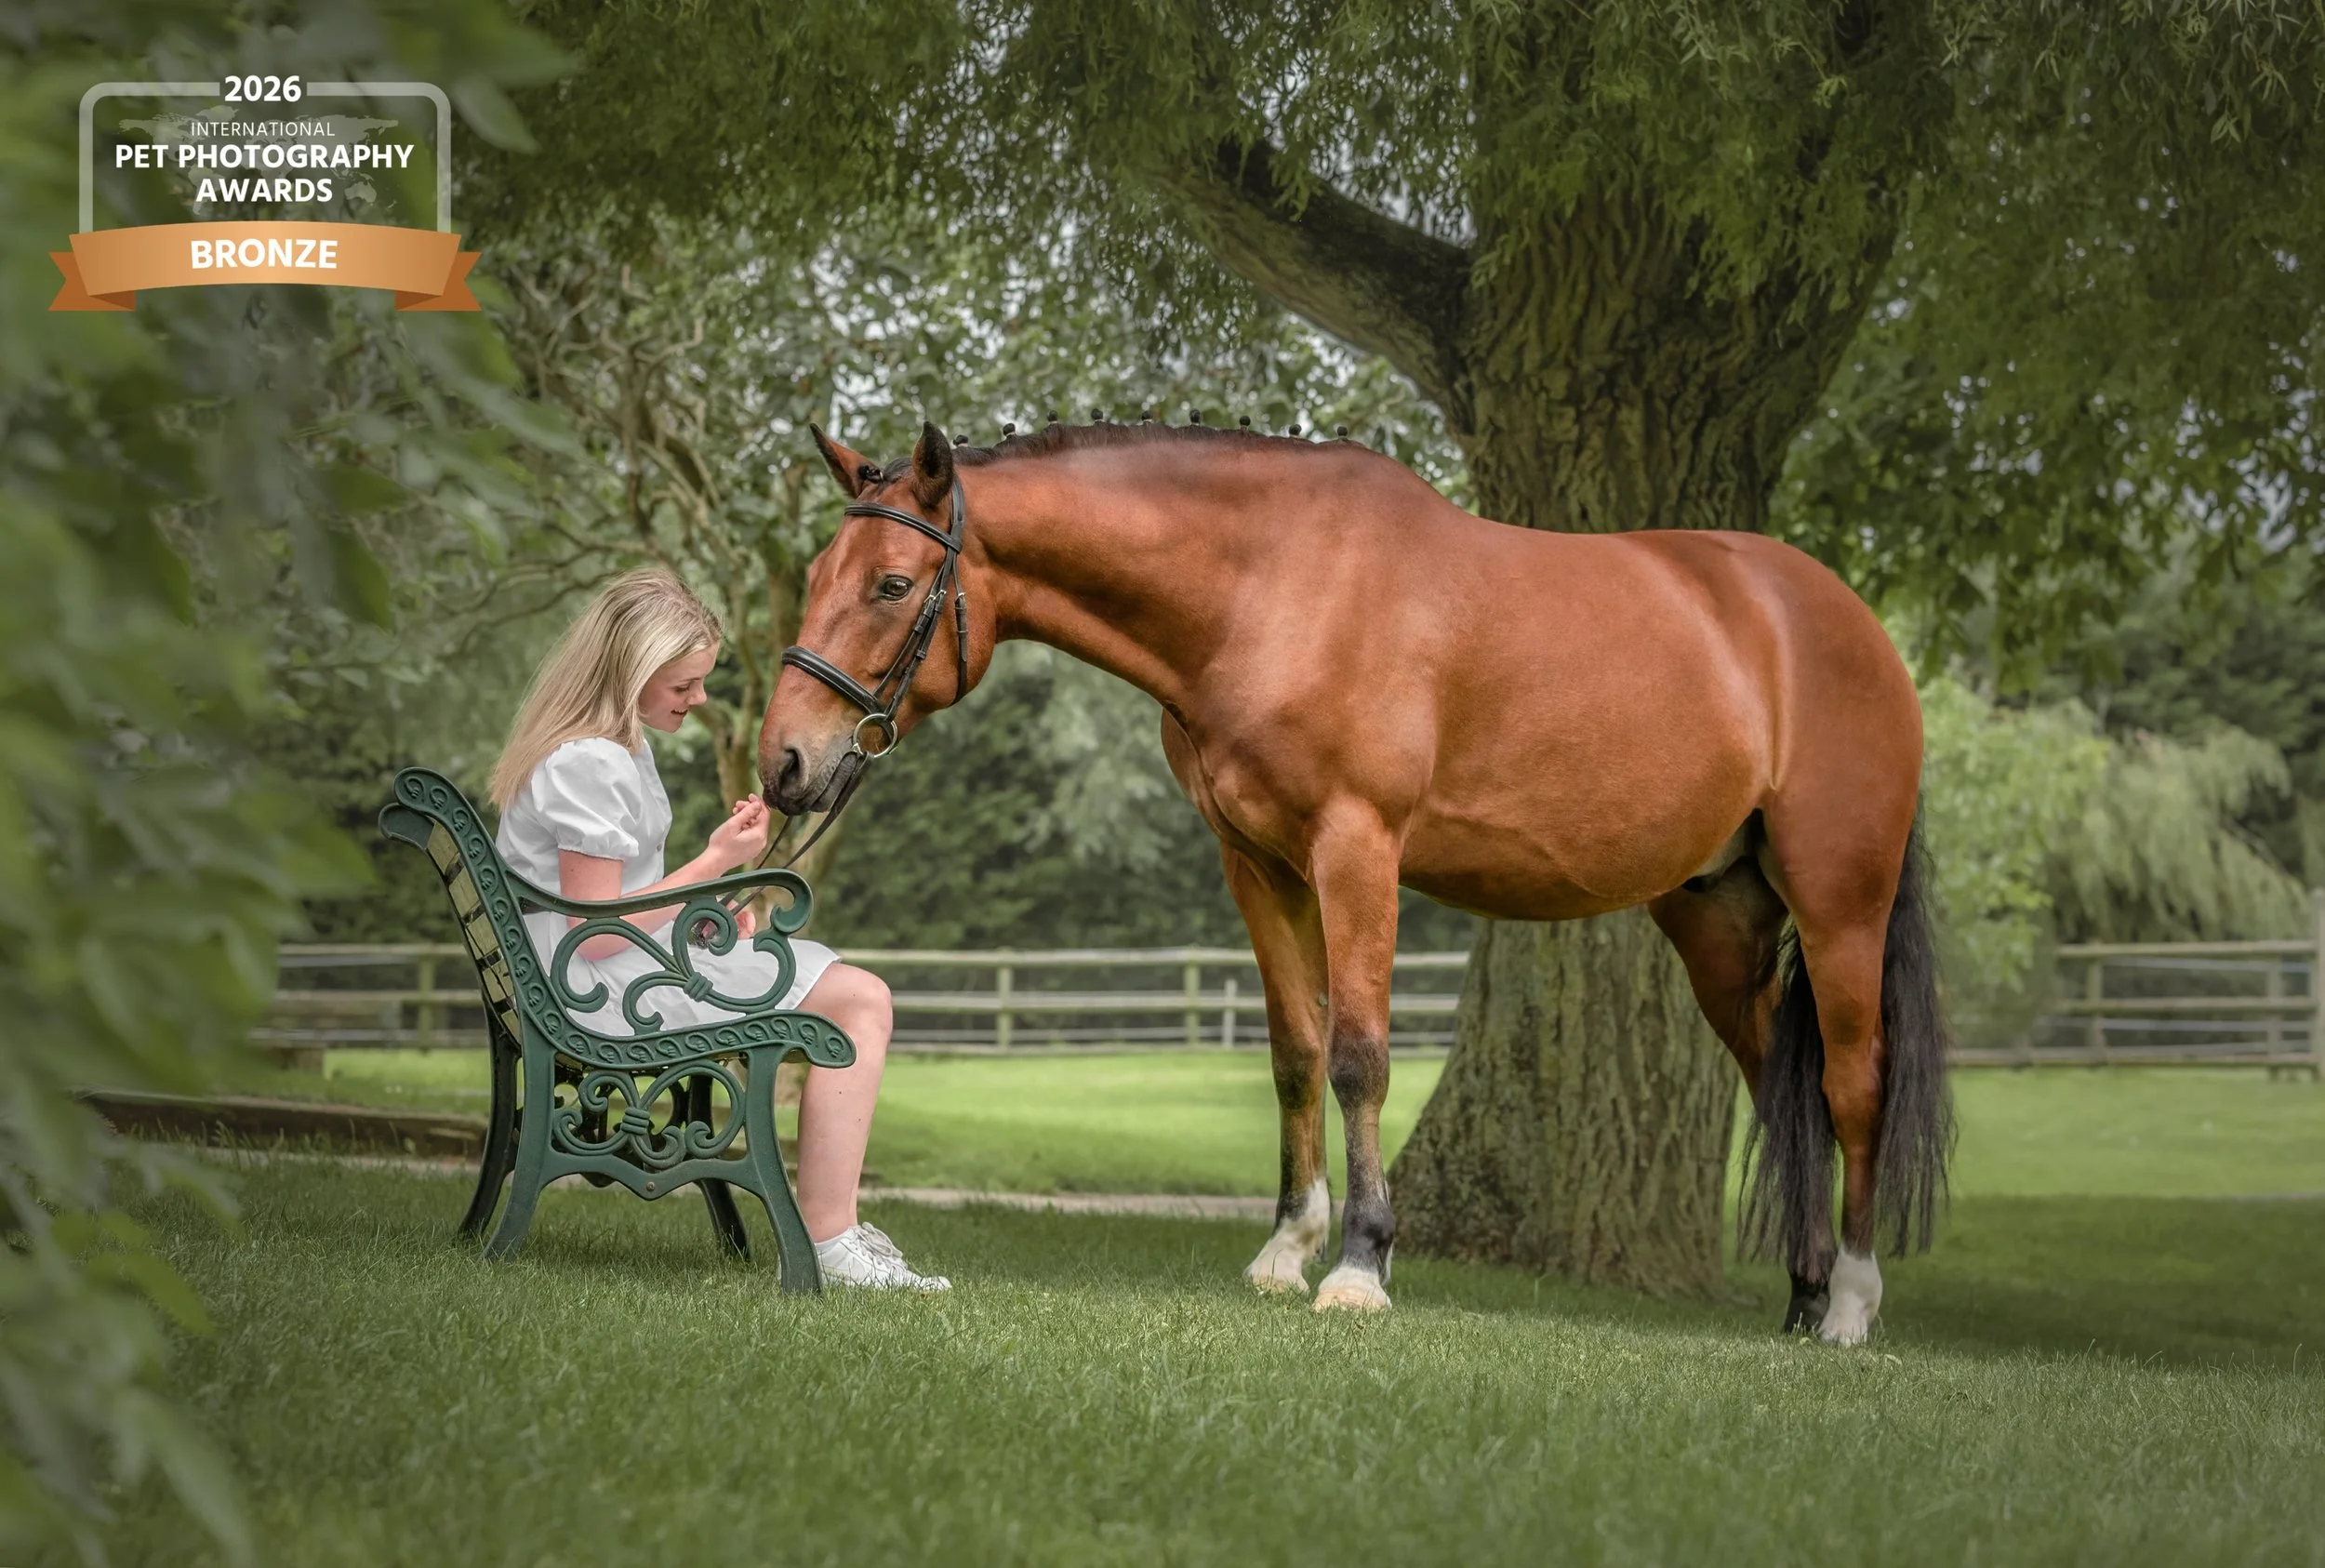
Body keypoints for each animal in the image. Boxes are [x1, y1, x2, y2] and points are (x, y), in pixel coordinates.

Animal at [758, 417, 1950, 1344]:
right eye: (815, 579)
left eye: (893, 584)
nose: (784, 764)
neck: (1274, 586)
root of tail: (1845, 622)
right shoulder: (1258, 866)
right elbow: (1295, 1054)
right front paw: (1286, 1250)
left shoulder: (1357, 851)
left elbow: (1360, 1057)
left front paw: (1360, 1265)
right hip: (1720, 924)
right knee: (1780, 1086)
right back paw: (1802, 1295)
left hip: (1839, 903)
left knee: (1851, 1088)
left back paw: (1851, 1306)